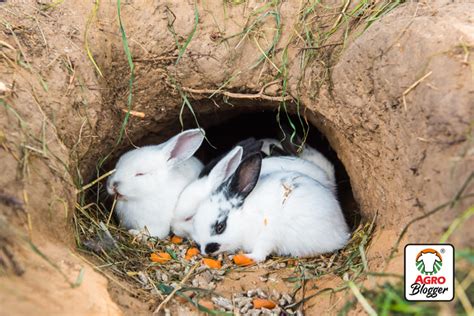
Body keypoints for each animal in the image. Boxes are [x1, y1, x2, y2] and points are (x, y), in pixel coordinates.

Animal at [191, 153, 350, 262]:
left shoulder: (268, 235)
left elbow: (261, 252)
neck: (243, 217)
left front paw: (249, 256)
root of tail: (342, 231)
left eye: (220, 227)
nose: (205, 250)